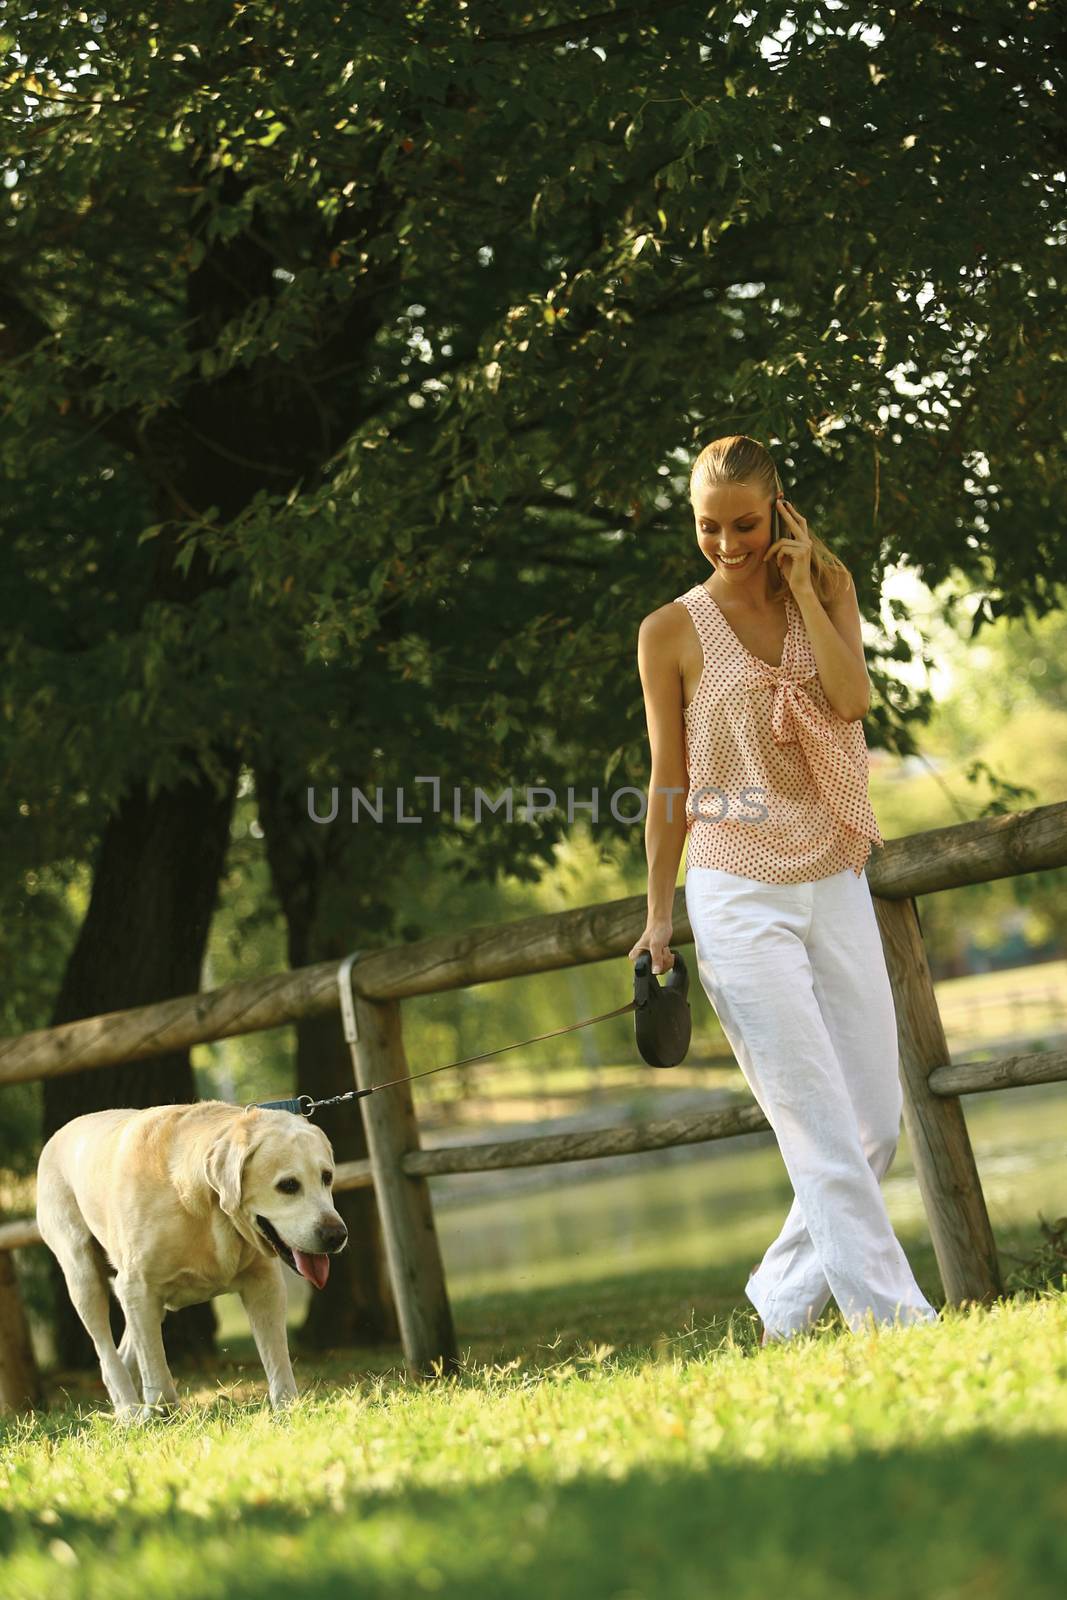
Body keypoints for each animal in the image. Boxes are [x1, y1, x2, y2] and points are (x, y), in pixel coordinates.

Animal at [35, 1107, 347, 1420]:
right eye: (288, 1185)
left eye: (327, 1177)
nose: (336, 1235)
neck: (209, 1209)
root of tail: (58, 1136)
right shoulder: (137, 1287)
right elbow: (157, 1372)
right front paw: (161, 1415)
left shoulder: (264, 1284)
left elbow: (278, 1360)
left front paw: (287, 1409)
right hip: (83, 1275)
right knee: (108, 1354)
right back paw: (129, 1412)